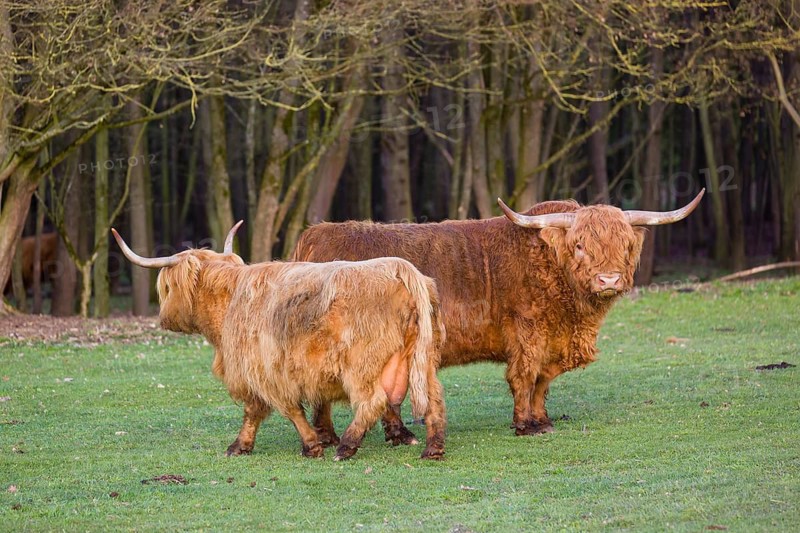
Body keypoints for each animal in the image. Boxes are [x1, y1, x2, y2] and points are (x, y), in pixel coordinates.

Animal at [111, 222, 446, 461]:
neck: (230, 301)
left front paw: (310, 445)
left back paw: (346, 447)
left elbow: (278, 409)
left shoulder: (263, 370)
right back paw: (433, 449)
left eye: (166, 287)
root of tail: (401, 270)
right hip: (422, 359)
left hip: (361, 365)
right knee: (433, 399)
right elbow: (259, 410)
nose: (164, 319)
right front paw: (242, 446)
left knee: (372, 401)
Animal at [293, 190, 705, 442]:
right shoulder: (527, 332)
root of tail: (316, 235)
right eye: (579, 245)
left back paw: (392, 435)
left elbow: (542, 381)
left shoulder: (551, 341)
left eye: (625, 244)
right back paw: (332, 437)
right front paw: (525, 424)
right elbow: (524, 376)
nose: (609, 279)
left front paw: (542, 418)